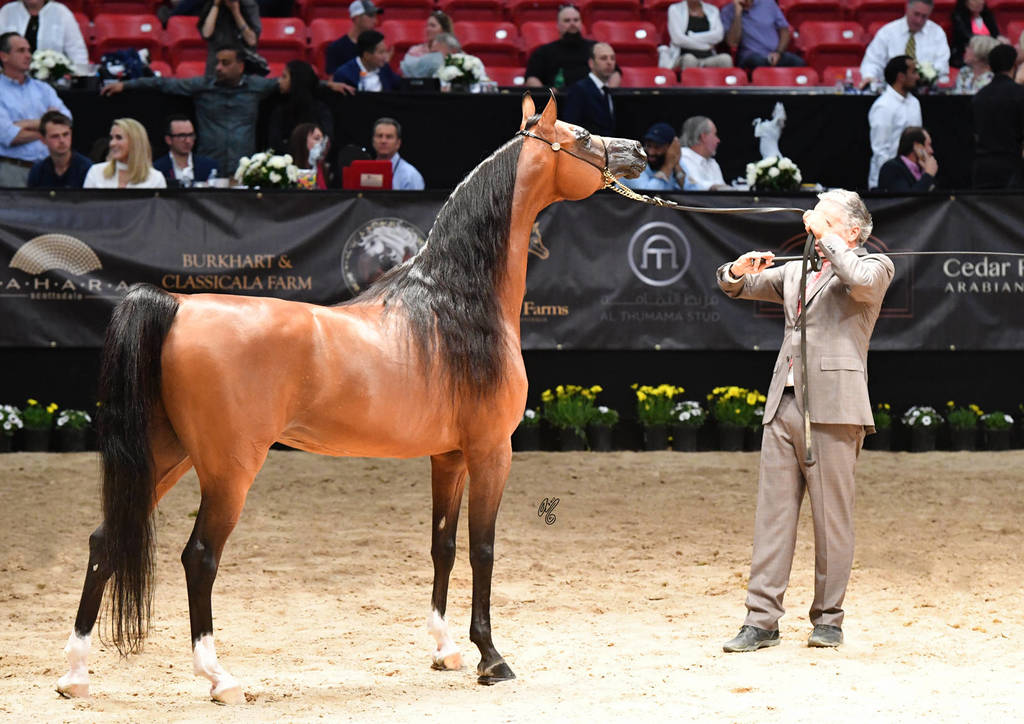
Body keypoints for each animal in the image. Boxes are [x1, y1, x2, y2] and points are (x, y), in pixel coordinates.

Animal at [56, 92, 646, 704]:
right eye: (582, 138)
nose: (638, 151)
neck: (456, 304)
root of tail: (178, 306)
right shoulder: (491, 452)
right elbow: (482, 549)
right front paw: (491, 657)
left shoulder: (449, 457)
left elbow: (443, 546)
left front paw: (445, 651)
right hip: (227, 470)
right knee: (199, 557)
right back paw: (219, 678)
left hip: (165, 455)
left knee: (106, 540)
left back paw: (75, 674)